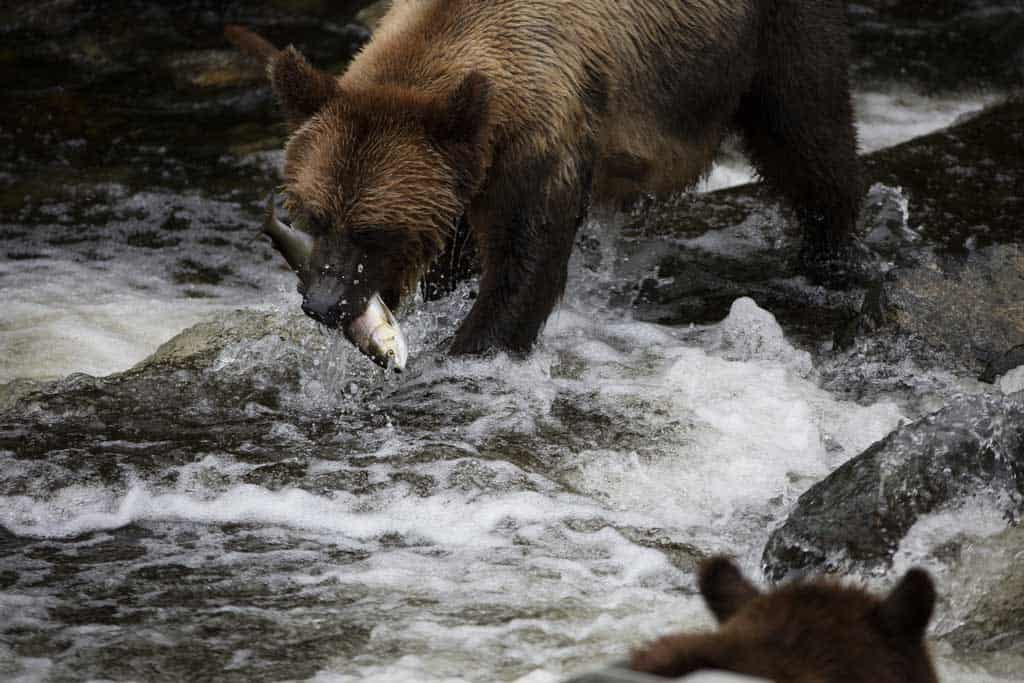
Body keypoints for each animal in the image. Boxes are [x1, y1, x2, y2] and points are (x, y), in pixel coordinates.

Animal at [229, 0, 864, 363]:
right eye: (314, 216)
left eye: (373, 230)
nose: (324, 302)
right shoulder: (468, 175)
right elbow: (459, 257)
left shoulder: (539, 142)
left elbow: (525, 259)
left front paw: (471, 347)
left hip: (770, 38)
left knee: (809, 133)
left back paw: (832, 257)